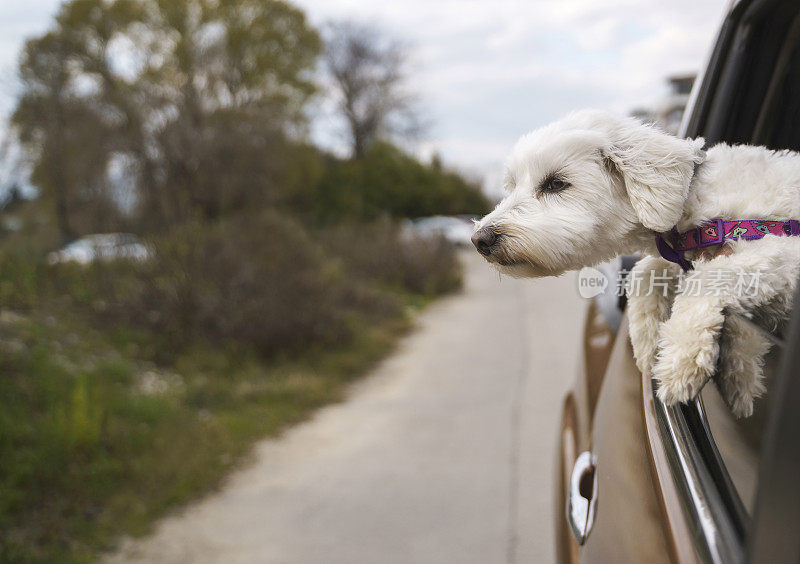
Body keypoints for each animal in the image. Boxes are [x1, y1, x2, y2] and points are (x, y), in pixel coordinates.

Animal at [472, 111, 800, 418]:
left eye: (555, 183)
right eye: (513, 185)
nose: (479, 239)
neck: (696, 195)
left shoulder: (782, 249)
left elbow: (710, 277)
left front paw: (682, 359)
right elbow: (645, 272)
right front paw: (648, 343)